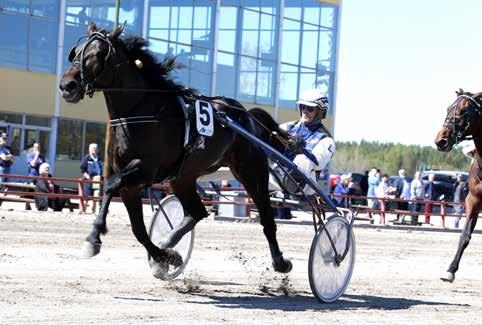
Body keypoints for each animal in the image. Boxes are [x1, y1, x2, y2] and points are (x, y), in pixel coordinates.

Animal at [60, 23, 294, 276]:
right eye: (76, 52)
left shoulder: (145, 170)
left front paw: (93, 238)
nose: (67, 86)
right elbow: (138, 230)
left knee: (266, 218)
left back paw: (280, 262)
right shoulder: (131, 183)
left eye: (99, 53)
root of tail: (246, 115)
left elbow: (111, 185)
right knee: (197, 212)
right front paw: (165, 256)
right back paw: (170, 240)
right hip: (183, 177)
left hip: (251, 171)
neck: (139, 110)